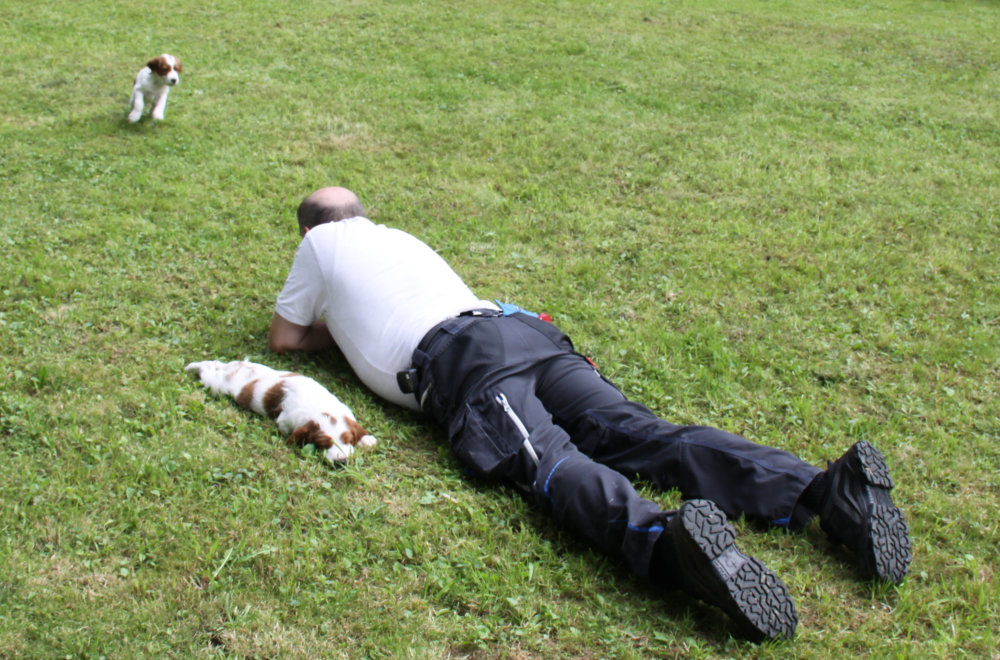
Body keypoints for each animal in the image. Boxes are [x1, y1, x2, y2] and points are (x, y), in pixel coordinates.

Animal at [185, 359, 376, 463]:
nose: (341, 462)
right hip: (216, 385)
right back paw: (192, 366)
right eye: (323, 444)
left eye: (347, 440)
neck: (321, 408)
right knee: (207, 370)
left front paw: (366, 439)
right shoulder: (286, 420)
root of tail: (233, 370)